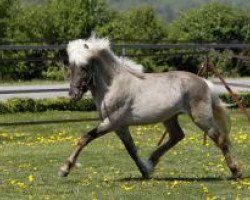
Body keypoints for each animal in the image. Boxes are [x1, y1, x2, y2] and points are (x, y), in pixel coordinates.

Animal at [58, 36, 242, 180]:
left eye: (84, 67)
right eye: (71, 67)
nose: (73, 94)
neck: (113, 86)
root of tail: (204, 82)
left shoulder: (111, 123)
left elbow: (84, 138)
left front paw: (64, 169)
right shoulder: (120, 127)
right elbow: (131, 149)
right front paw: (145, 171)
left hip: (201, 118)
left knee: (219, 139)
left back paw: (236, 172)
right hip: (170, 117)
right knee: (177, 136)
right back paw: (151, 162)